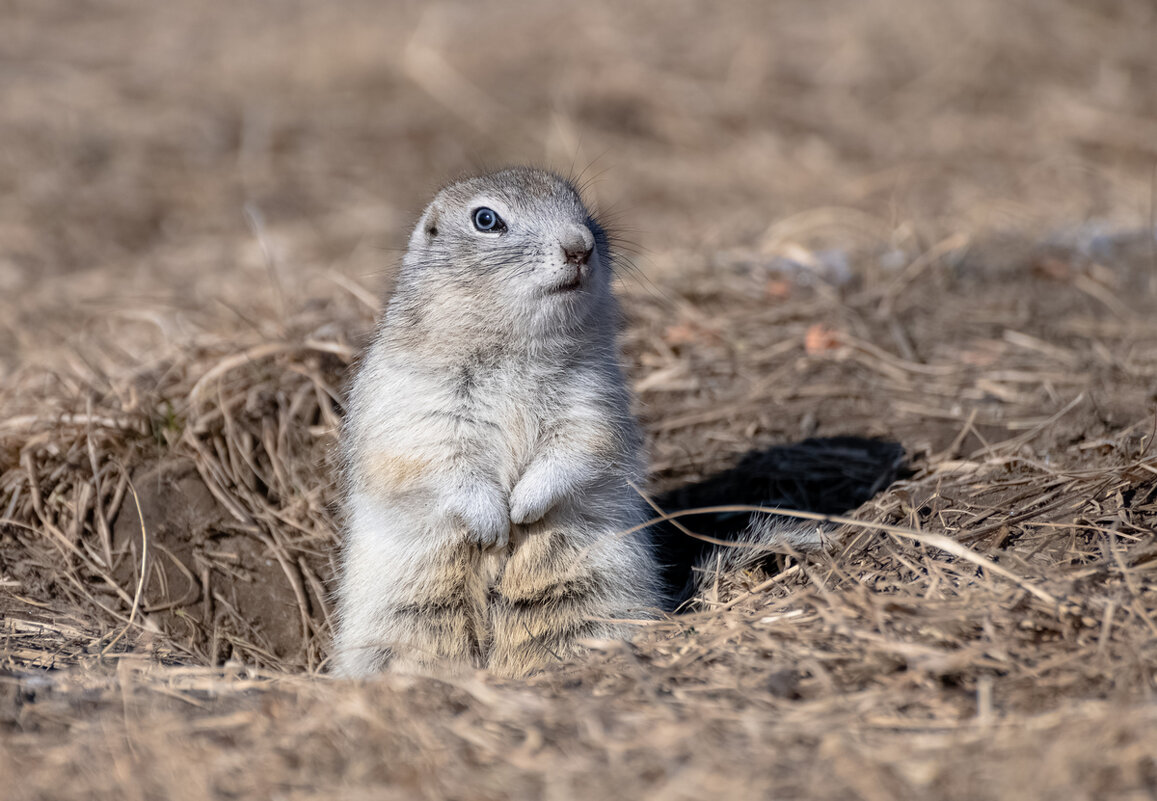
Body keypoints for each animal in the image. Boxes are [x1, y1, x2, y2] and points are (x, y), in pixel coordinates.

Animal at [330, 167, 666, 675]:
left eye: (578, 203)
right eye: (486, 220)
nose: (580, 246)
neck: (516, 348)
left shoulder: (592, 399)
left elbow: (581, 445)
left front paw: (523, 508)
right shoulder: (415, 411)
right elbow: (439, 464)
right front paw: (495, 525)